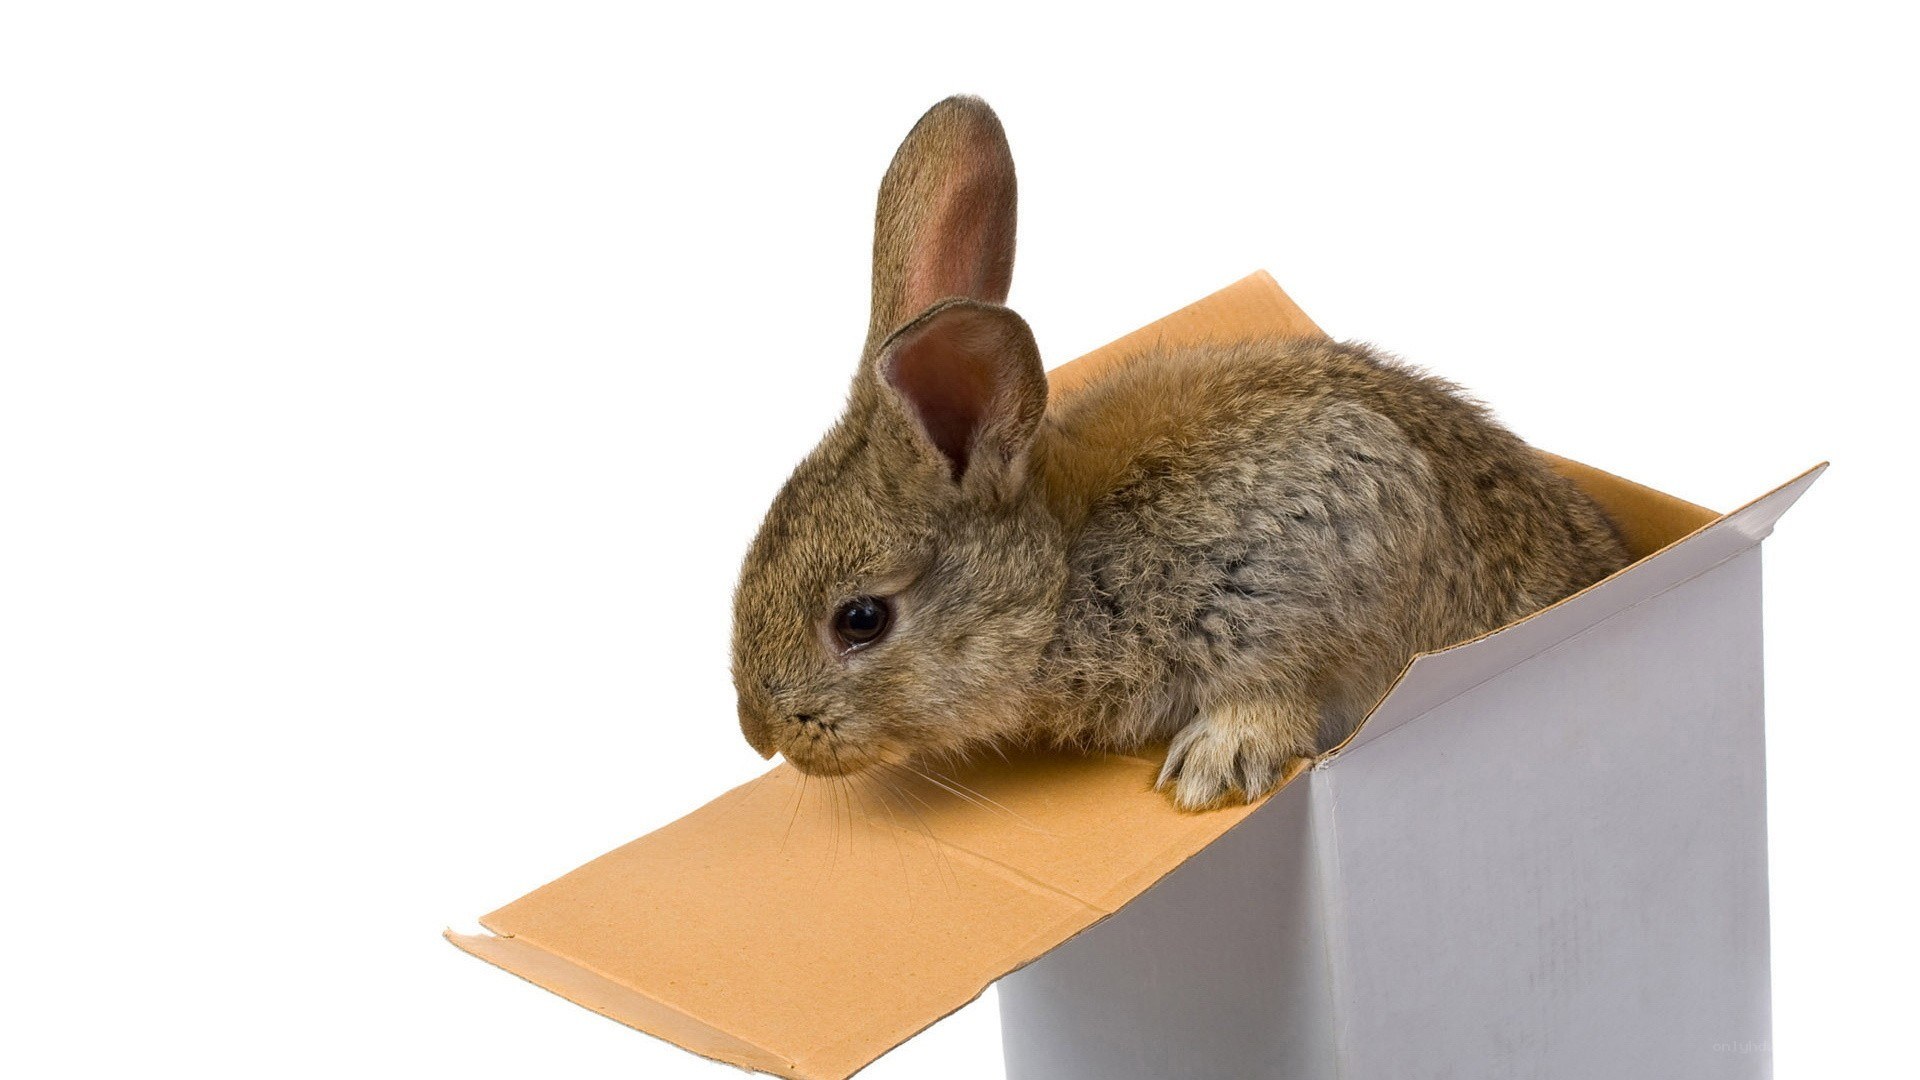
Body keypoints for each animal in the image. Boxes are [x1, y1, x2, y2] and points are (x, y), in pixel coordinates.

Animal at [730, 96, 1630, 810]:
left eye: (861, 619)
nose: (760, 733)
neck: (1062, 573)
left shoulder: (1316, 558)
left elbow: (1285, 689)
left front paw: (1214, 767)